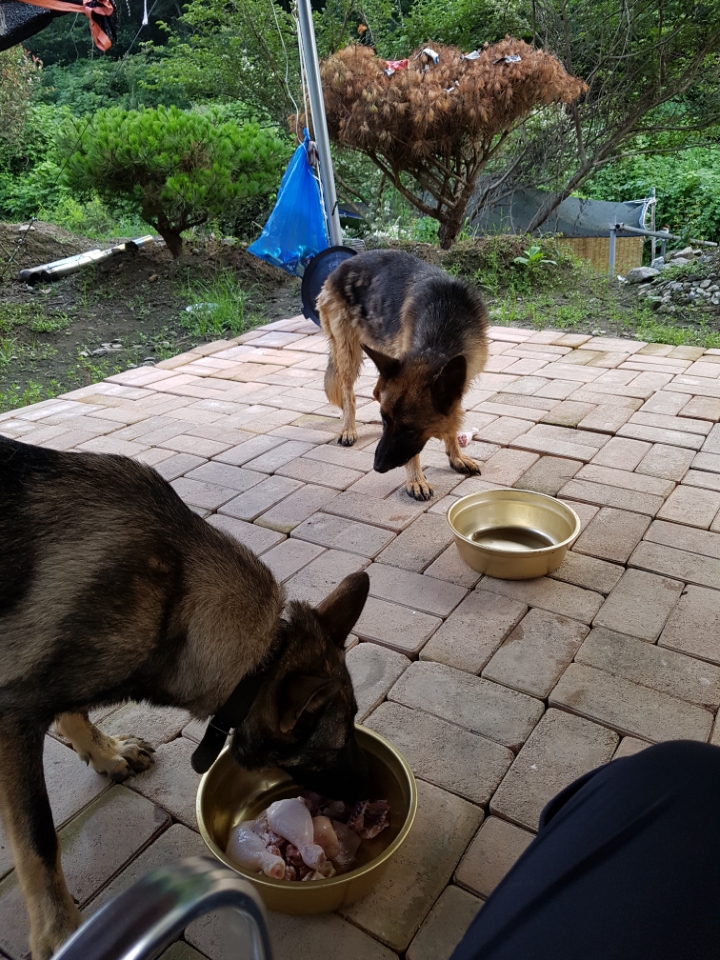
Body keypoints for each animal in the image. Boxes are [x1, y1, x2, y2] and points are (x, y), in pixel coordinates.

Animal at [0, 435, 370, 960]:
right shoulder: (13, 715)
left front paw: (104, 751)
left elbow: (71, 708)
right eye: (336, 749)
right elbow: (38, 840)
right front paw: (58, 932)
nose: (370, 788)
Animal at [317, 249, 489, 500]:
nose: (377, 466)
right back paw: (349, 429)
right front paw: (416, 480)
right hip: (348, 353)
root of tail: (341, 266)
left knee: (374, 391)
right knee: (350, 395)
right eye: (384, 420)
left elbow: (452, 421)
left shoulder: (458, 385)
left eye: (410, 430)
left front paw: (456, 456)